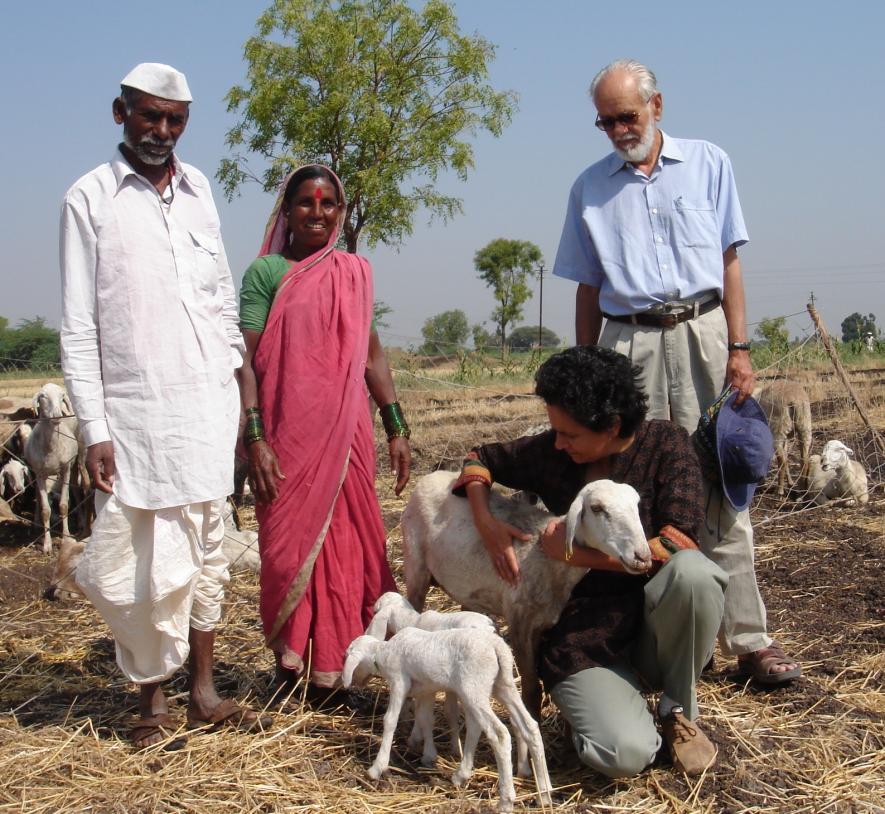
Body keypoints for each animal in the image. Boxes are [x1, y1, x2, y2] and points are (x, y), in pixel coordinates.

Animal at [24, 384, 79, 556]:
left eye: (62, 396)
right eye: (43, 396)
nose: (56, 416)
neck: (51, 447)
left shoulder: (66, 469)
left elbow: (63, 505)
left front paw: (66, 537)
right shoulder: (39, 473)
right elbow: (45, 509)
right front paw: (47, 545)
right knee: (37, 496)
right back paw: (36, 523)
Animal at [342, 632, 548, 814]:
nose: (353, 683)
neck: (383, 652)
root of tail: (497, 647)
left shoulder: (399, 681)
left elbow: (390, 720)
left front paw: (377, 767)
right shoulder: (426, 689)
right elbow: (425, 719)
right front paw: (428, 756)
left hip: (475, 688)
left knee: (499, 734)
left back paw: (505, 801)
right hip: (502, 685)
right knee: (529, 726)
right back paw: (544, 793)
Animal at [402, 468, 648, 716]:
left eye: (637, 505)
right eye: (597, 508)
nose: (643, 557)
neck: (546, 555)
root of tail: (429, 476)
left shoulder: (540, 623)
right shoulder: (520, 620)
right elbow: (531, 686)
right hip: (415, 567)